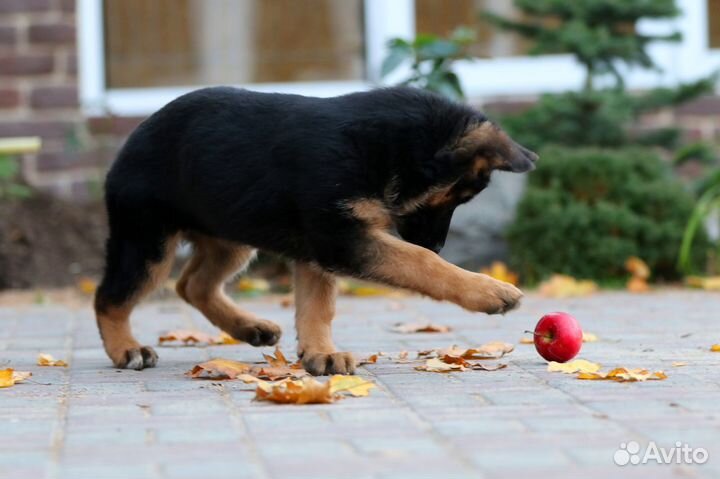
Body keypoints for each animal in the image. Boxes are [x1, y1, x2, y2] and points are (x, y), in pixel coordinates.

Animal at [94, 88, 536, 376]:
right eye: (458, 196)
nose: (439, 244)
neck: (383, 148)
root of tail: (133, 138)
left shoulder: (317, 247)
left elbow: (316, 306)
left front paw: (320, 354)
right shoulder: (341, 238)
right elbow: (419, 262)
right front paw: (488, 290)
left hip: (231, 237)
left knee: (193, 284)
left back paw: (250, 327)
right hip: (147, 241)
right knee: (110, 297)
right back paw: (126, 349)